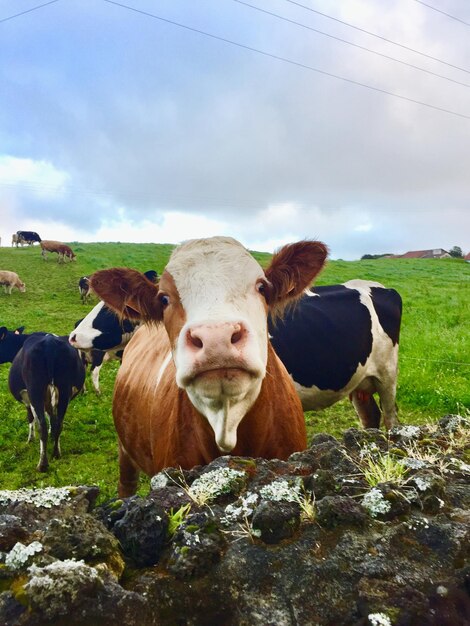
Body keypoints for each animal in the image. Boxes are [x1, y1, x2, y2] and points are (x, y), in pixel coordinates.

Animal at [0, 326, 86, 468]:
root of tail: (49, 341)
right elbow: (52, 417)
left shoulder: (27, 399)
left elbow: (31, 417)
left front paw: (30, 439)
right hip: (64, 388)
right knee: (59, 423)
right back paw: (56, 454)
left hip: (35, 389)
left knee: (42, 425)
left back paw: (42, 464)